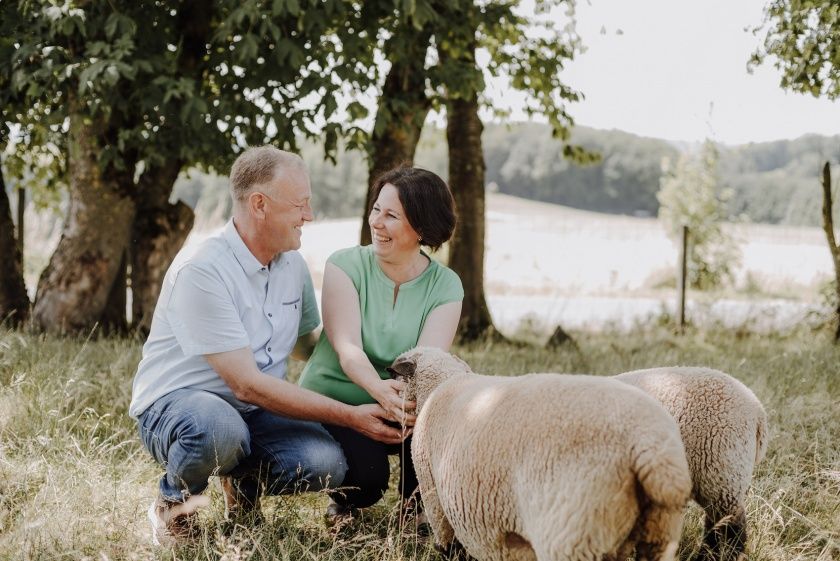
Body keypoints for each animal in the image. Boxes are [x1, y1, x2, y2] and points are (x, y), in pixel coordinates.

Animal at [390, 346, 692, 560]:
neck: (440, 386)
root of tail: (648, 447)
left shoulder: (433, 492)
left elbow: (448, 544)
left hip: (571, 531)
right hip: (658, 532)